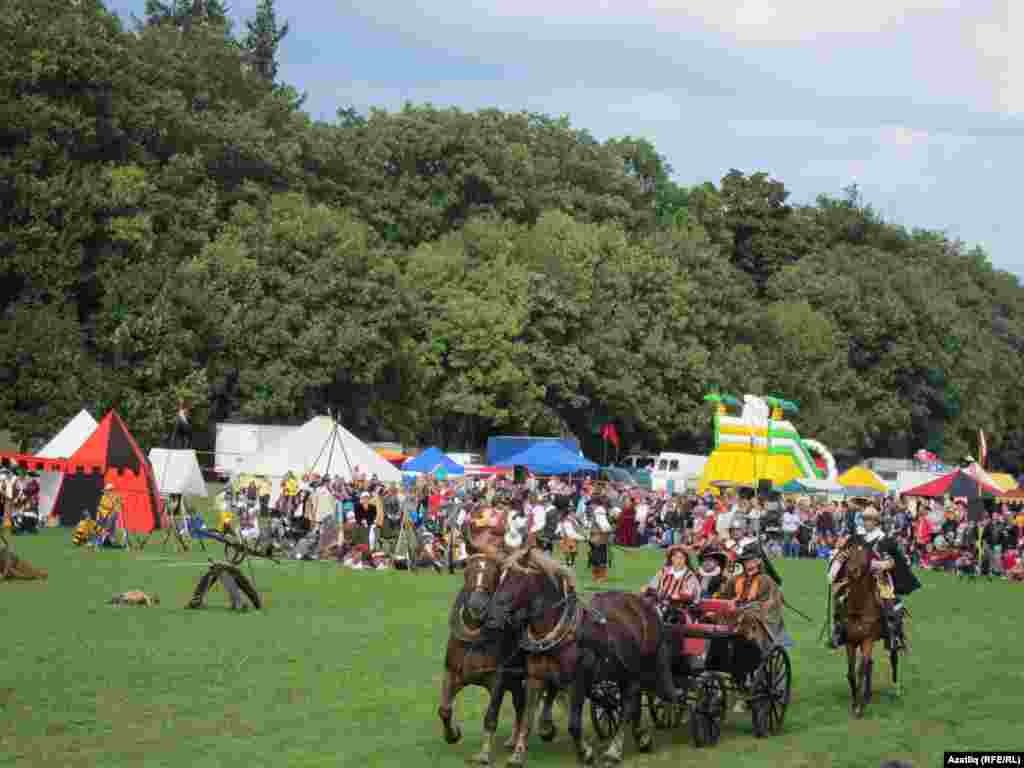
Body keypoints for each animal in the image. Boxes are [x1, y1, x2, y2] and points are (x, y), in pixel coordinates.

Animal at [442, 557, 565, 765]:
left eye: (495, 575)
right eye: (467, 572)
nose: (477, 605)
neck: (476, 640)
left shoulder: (498, 680)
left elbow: (491, 715)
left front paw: (484, 754)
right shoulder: (452, 673)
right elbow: (444, 709)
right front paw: (453, 734)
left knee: (546, 695)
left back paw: (545, 728)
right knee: (521, 705)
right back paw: (515, 740)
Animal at [487, 548, 679, 765]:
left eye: (516, 578)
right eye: (500, 577)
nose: (491, 615)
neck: (558, 629)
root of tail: (647, 608)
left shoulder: (578, 682)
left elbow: (573, 723)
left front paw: (585, 752)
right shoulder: (536, 678)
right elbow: (527, 720)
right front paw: (517, 755)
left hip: (635, 672)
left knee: (629, 706)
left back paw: (614, 751)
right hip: (623, 672)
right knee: (633, 705)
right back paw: (641, 738)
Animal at [843, 544, 901, 720]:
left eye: (865, 557)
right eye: (849, 555)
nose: (851, 571)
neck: (859, 608)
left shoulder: (867, 641)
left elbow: (861, 670)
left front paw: (859, 708)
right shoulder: (850, 642)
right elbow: (852, 673)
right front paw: (856, 701)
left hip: (891, 640)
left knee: (892, 659)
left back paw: (896, 689)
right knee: (869, 664)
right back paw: (867, 695)